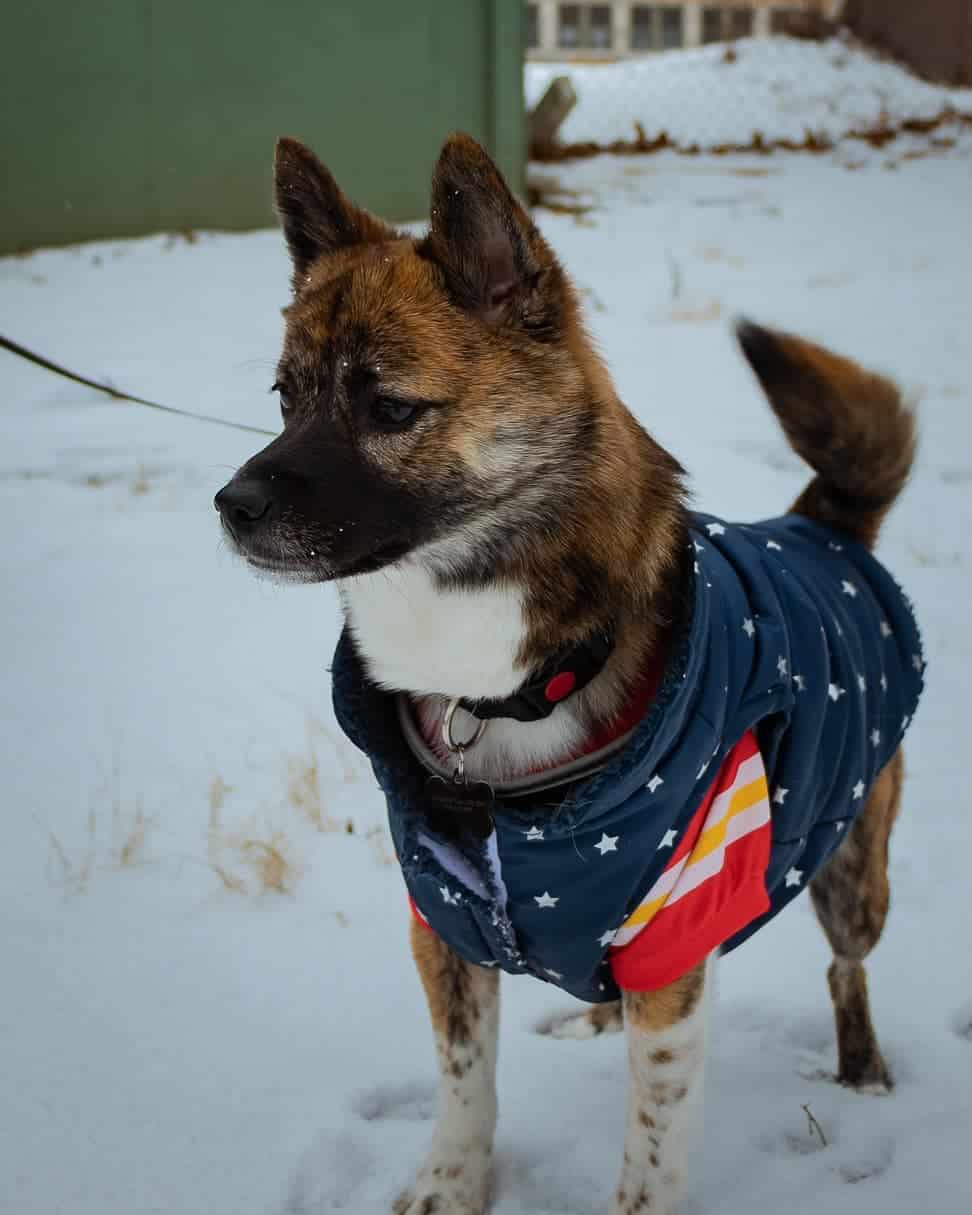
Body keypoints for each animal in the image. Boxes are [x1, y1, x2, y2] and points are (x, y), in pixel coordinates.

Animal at [216, 135, 923, 1215]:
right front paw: (450, 1183)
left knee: (847, 969)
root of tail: (822, 524)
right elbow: (466, 1078)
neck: (500, 687)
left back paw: (865, 1075)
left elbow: (651, 1148)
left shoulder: (677, 941)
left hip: (852, 876)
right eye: (284, 398)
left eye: (390, 408)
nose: (231, 504)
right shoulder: (446, 923)